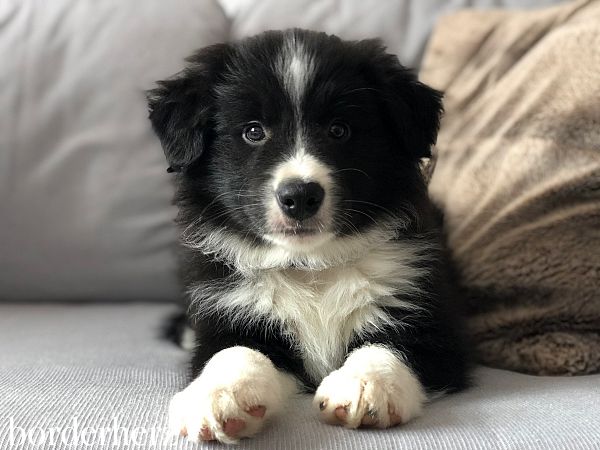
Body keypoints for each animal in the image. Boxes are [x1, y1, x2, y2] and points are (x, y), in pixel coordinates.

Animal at [149, 29, 468, 444]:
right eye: (253, 131)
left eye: (339, 129)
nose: (300, 196)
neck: (311, 266)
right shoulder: (229, 309)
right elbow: (232, 351)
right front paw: (217, 395)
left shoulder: (432, 317)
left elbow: (391, 346)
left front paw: (365, 386)